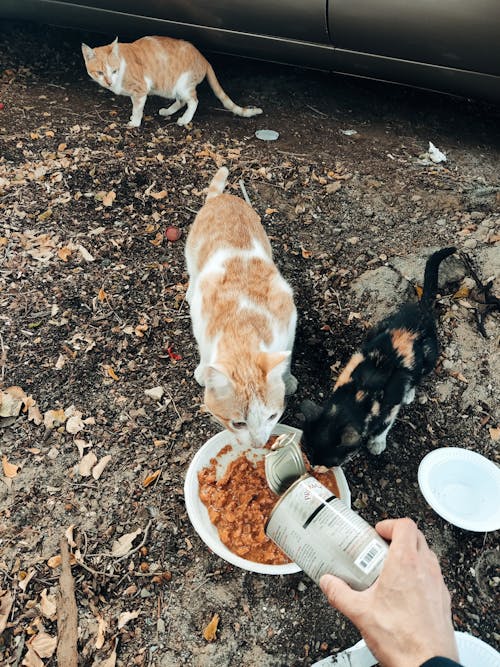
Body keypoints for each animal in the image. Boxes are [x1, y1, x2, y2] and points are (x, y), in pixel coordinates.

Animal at [80, 36, 264, 127]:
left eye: (114, 71)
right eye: (100, 72)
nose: (109, 82)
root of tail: (204, 59)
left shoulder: (140, 90)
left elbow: (138, 109)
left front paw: (135, 122)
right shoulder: (135, 94)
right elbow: (135, 107)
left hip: (183, 85)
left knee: (193, 101)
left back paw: (185, 119)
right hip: (172, 88)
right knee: (181, 101)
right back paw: (168, 111)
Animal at [187, 167, 296, 448]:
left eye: (272, 416)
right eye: (238, 423)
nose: (258, 444)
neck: (244, 326)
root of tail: (223, 197)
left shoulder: (289, 316)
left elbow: (288, 353)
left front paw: (287, 377)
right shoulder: (201, 318)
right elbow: (204, 350)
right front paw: (204, 369)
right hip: (191, 256)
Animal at [300, 248, 458, 468]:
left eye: (331, 462)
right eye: (309, 453)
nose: (314, 467)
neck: (356, 395)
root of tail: (422, 309)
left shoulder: (390, 405)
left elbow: (384, 426)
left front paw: (377, 444)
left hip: (428, 355)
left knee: (418, 376)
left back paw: (409, 394)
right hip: (377, 328)